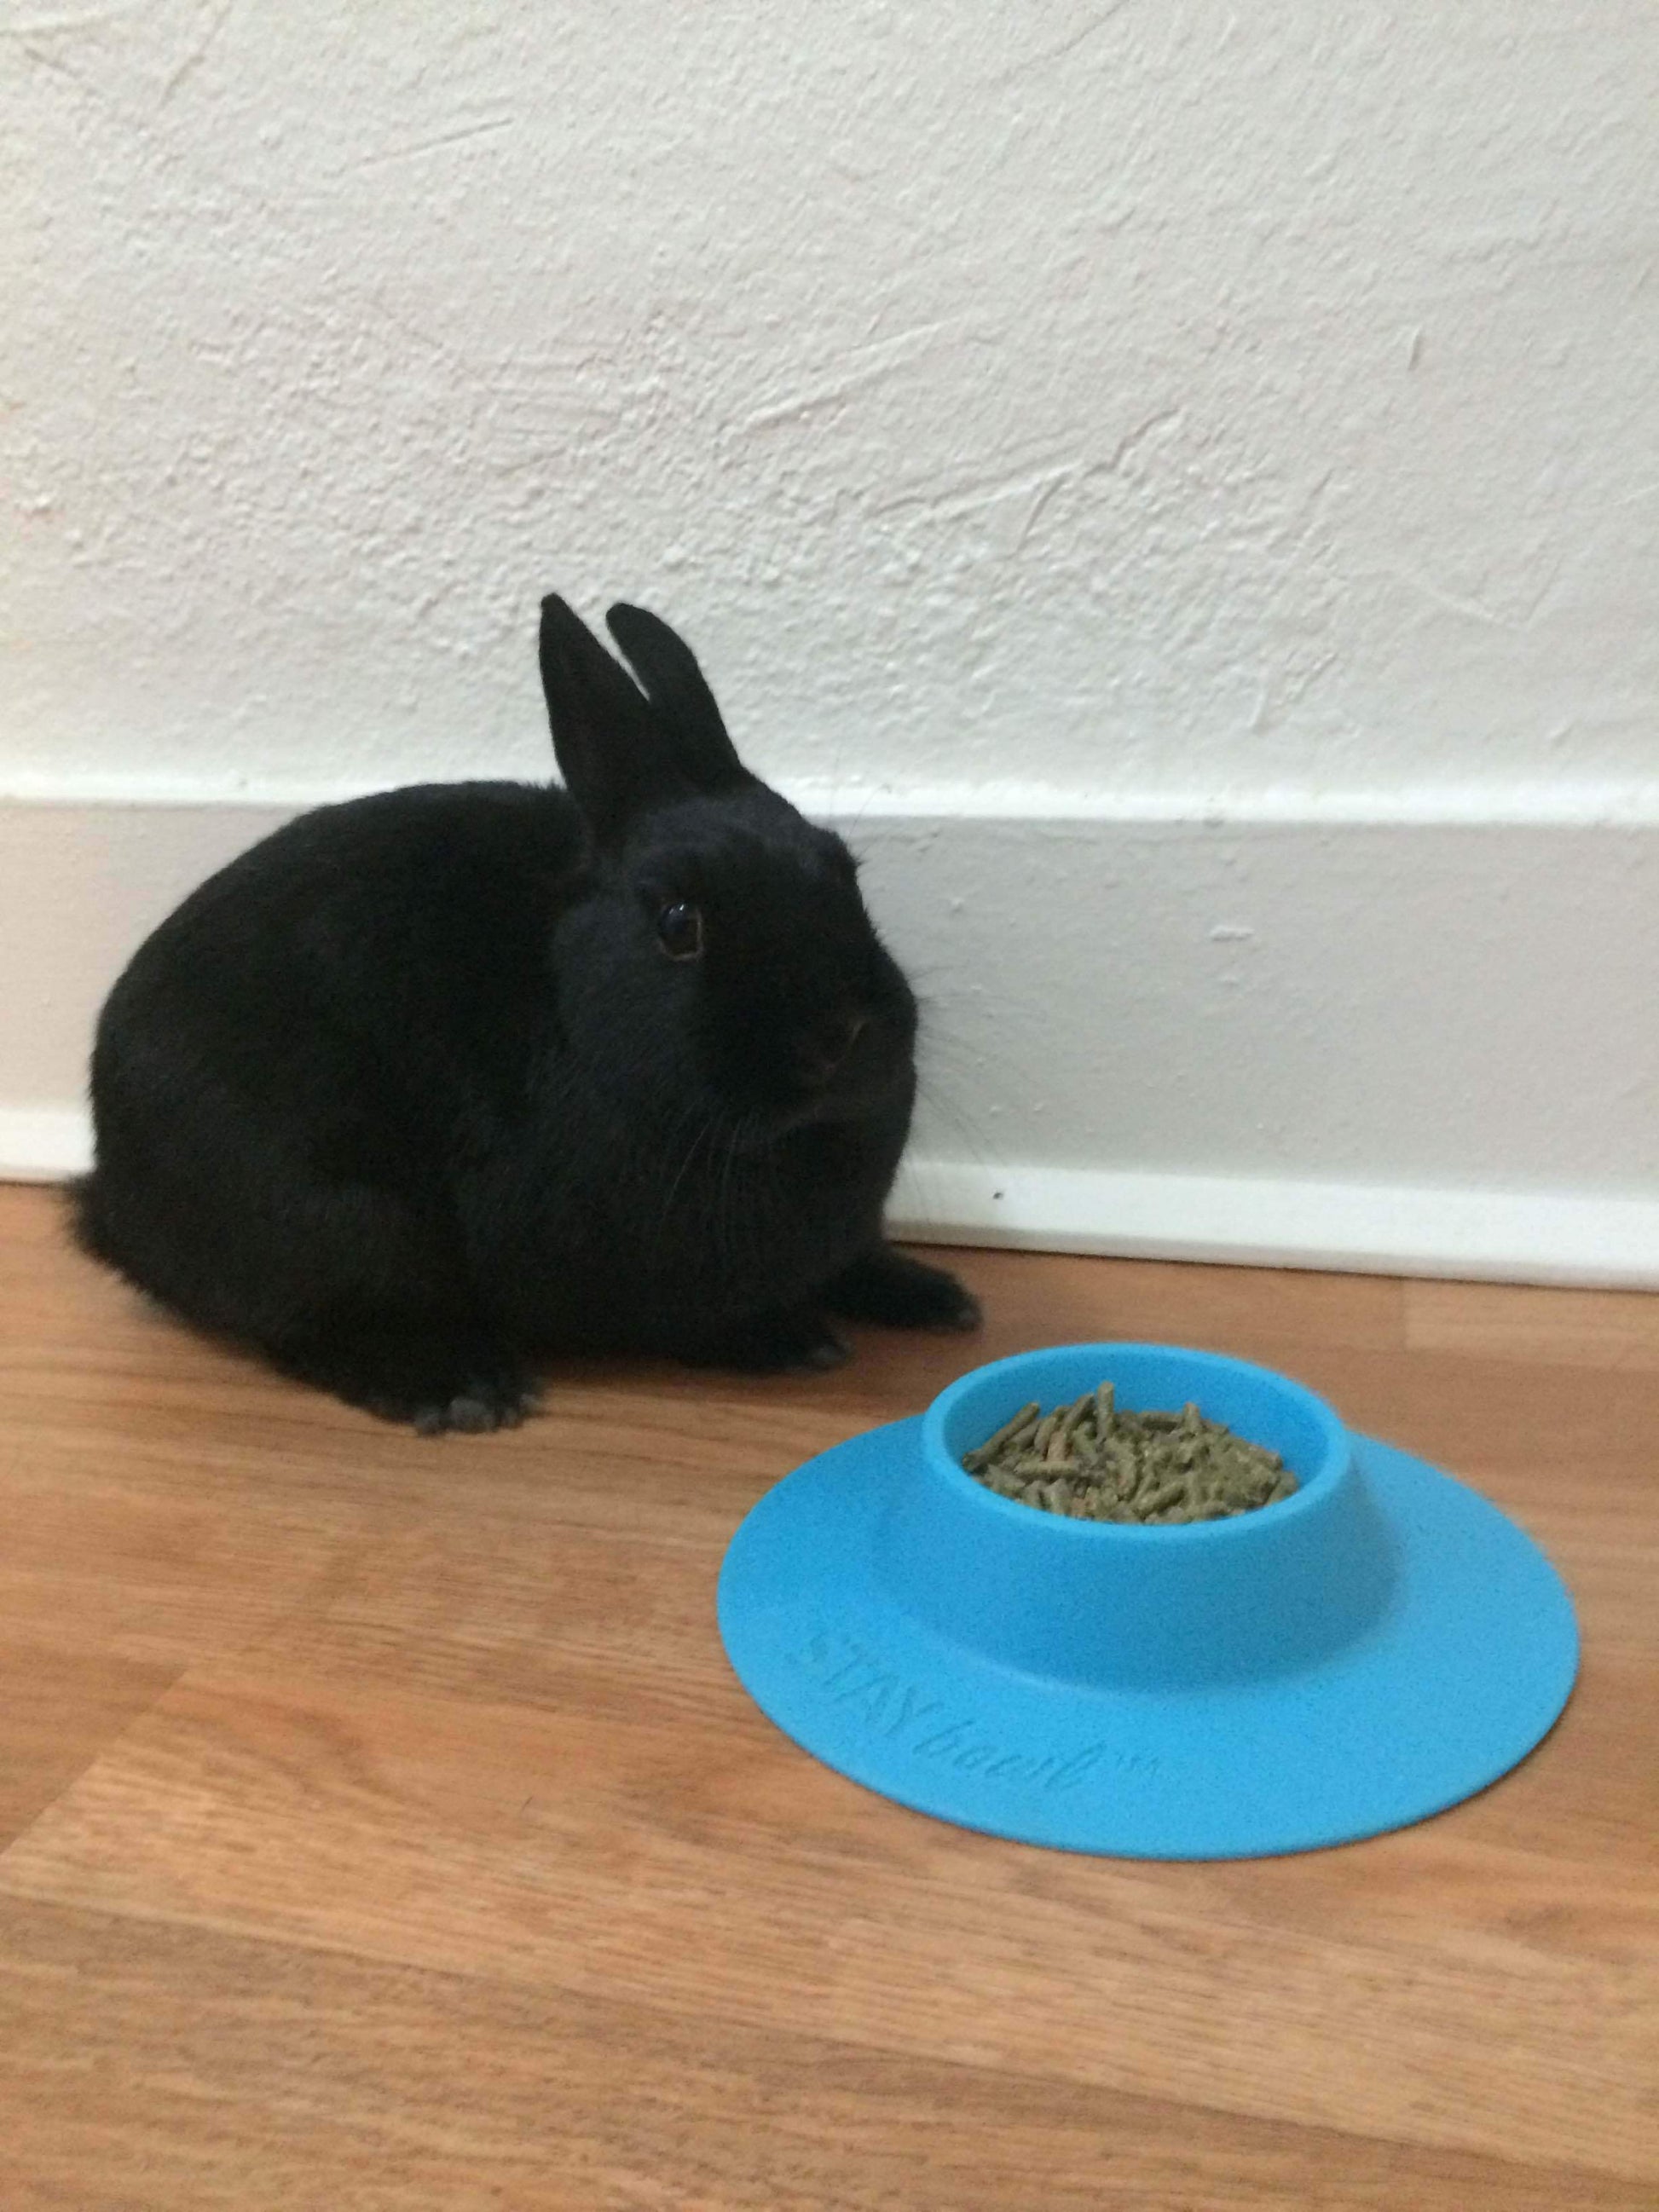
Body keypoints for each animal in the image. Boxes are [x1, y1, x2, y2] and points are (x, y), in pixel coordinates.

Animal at [70, 593, 980, 1432]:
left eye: (843, 869)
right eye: (678, 924)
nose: (848, 1034)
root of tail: (111, 1192)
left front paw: (935, 1296)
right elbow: (690, 1324)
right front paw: (793, 1338)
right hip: (334, 1216)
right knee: (313, 1326)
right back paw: (459, 1388)